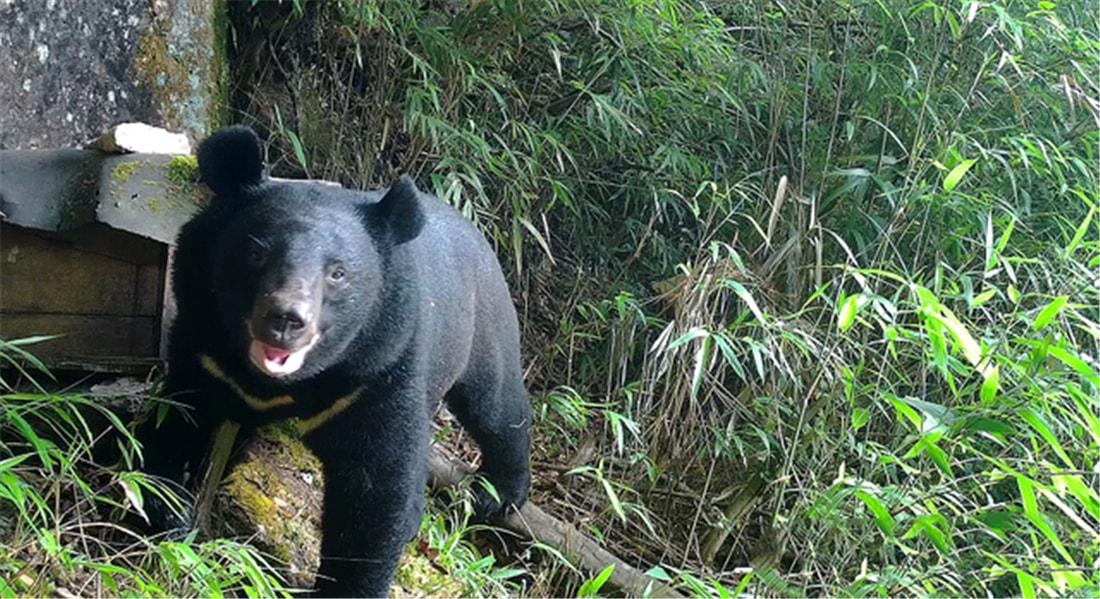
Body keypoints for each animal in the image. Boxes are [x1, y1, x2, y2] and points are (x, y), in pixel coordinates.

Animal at [135, 124, 530, 593]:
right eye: (256, 253)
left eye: (338, 272)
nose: (286, 319)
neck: (278, 384)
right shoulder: (203, 344)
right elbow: (180, 419)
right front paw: (166, 514)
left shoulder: (378, 367)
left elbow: (374, 487)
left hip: (482, 322)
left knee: (497, 405)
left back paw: (498, 495)